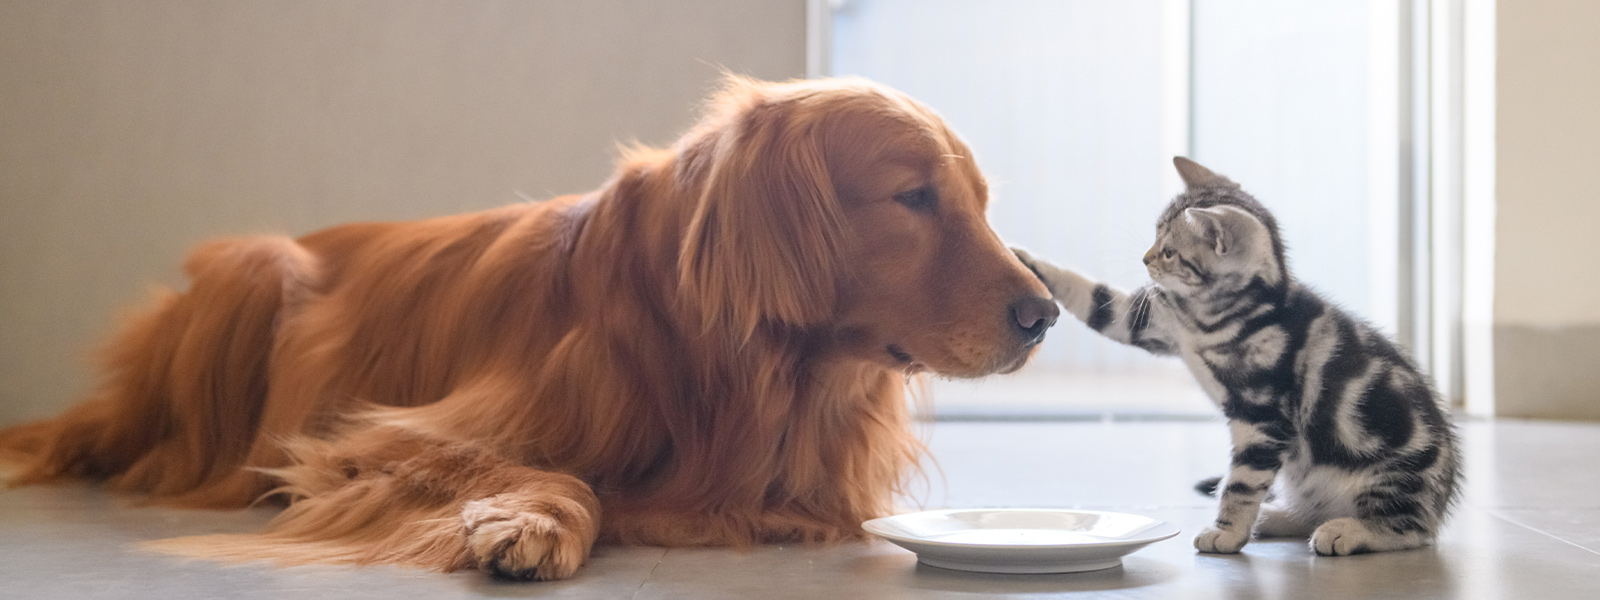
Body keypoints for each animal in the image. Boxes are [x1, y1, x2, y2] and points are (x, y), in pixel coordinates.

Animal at [0, 76, 1056, 582]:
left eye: (979, 200)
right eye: (913, 197)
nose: (1046, 314)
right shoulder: (380, 438)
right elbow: (558, 472)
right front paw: (530, 523)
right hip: (258, 270)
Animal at [1017, 157, 1459, 556]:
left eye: (1170, 251)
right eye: (1156, 238)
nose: (1145, 258)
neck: (1212, 316)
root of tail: (1441, 502)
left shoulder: (1263, 417)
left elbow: (1242, 483)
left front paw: (1226, 533)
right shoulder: (1151, 322)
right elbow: (1094, 298)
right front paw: (1026, 260)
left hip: (1390, 475)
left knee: (1411, 529)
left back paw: (1348, 531)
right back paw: (1278, 517)